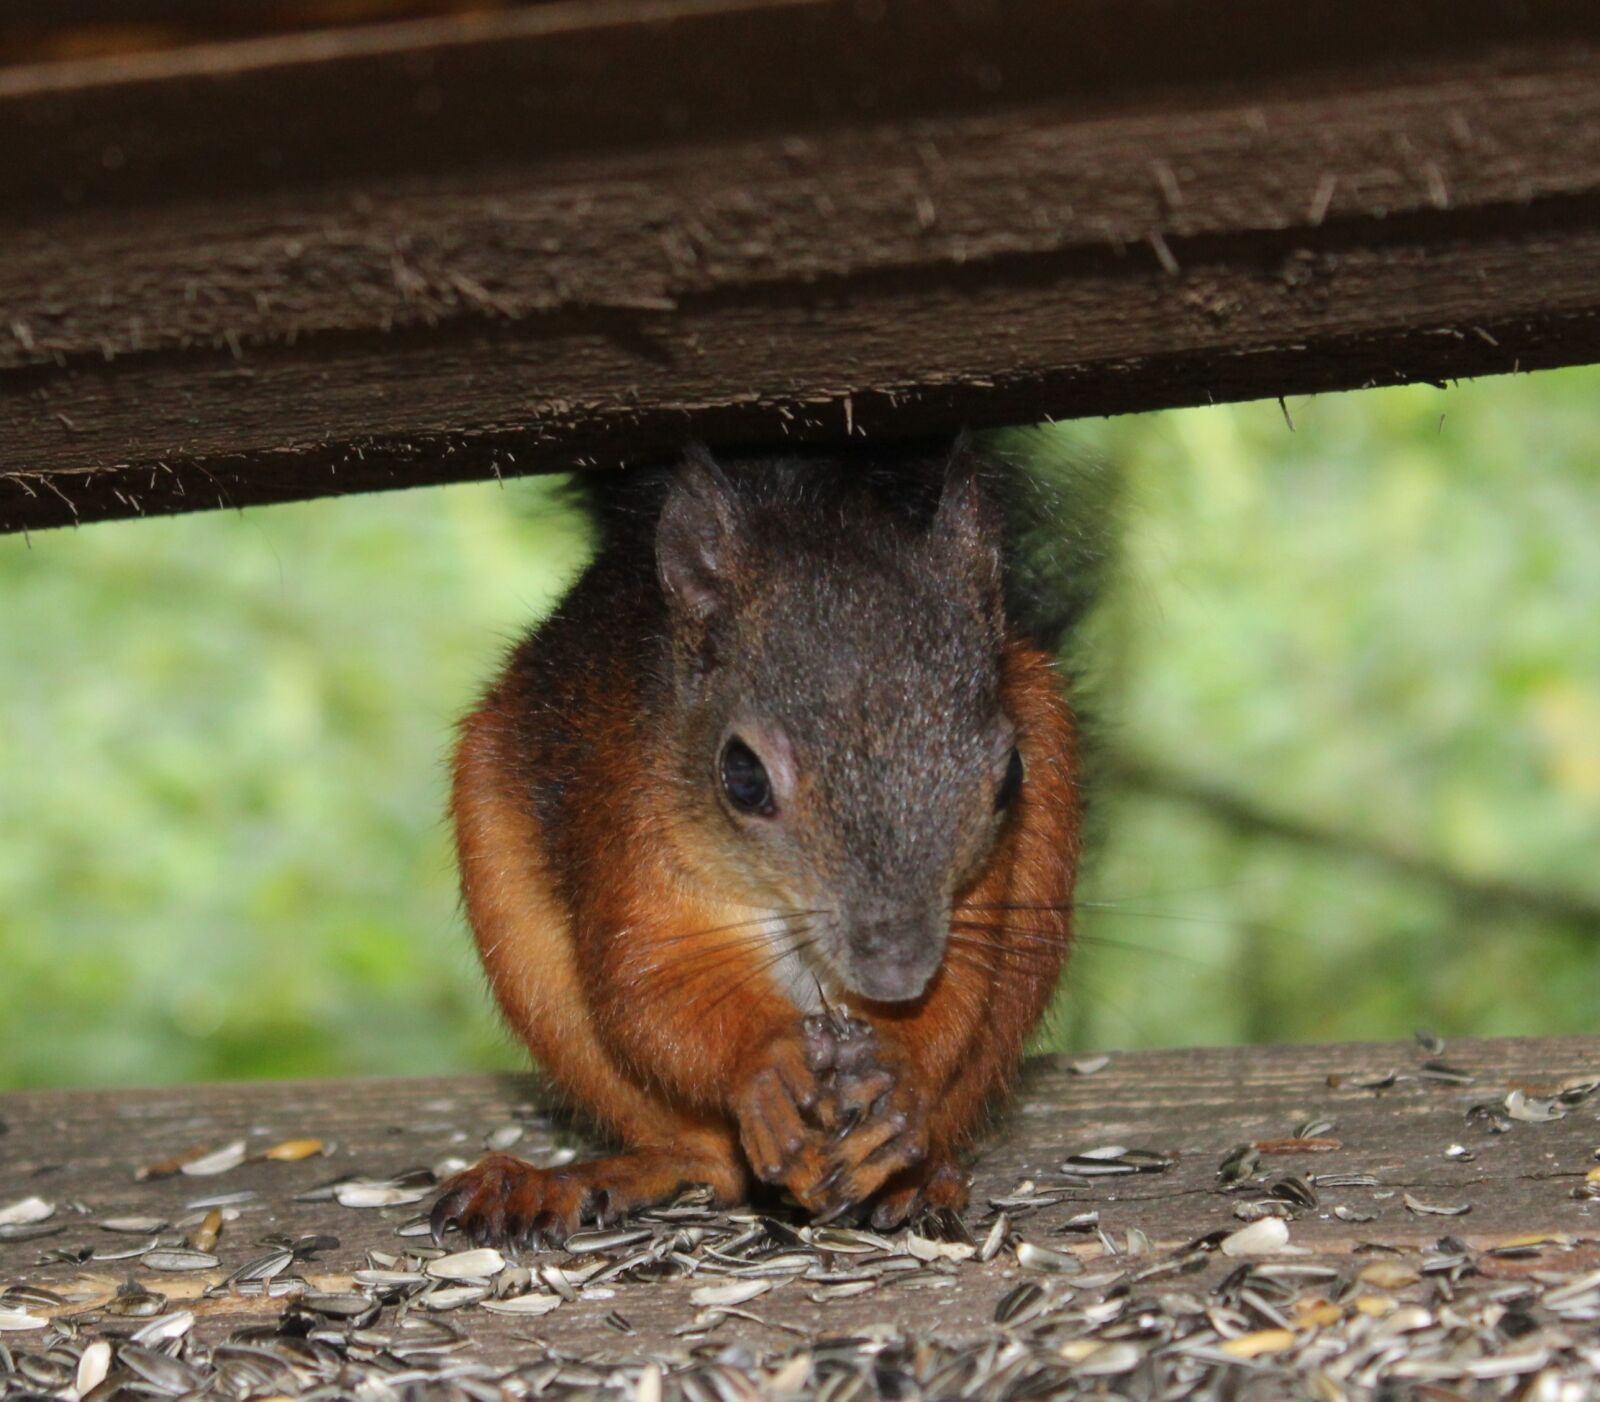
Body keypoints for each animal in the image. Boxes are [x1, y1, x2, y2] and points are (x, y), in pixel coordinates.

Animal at [431, 436, 1083, 1246]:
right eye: (741, 776)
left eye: (1010, 776)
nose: (896, 972)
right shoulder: (627, 821)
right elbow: (647, 985)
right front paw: (768, 1063)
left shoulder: (978, 899)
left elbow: (960, 991)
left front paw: (899, 1071)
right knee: (702, 1155)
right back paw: (569, 1179)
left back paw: (917, 1178)